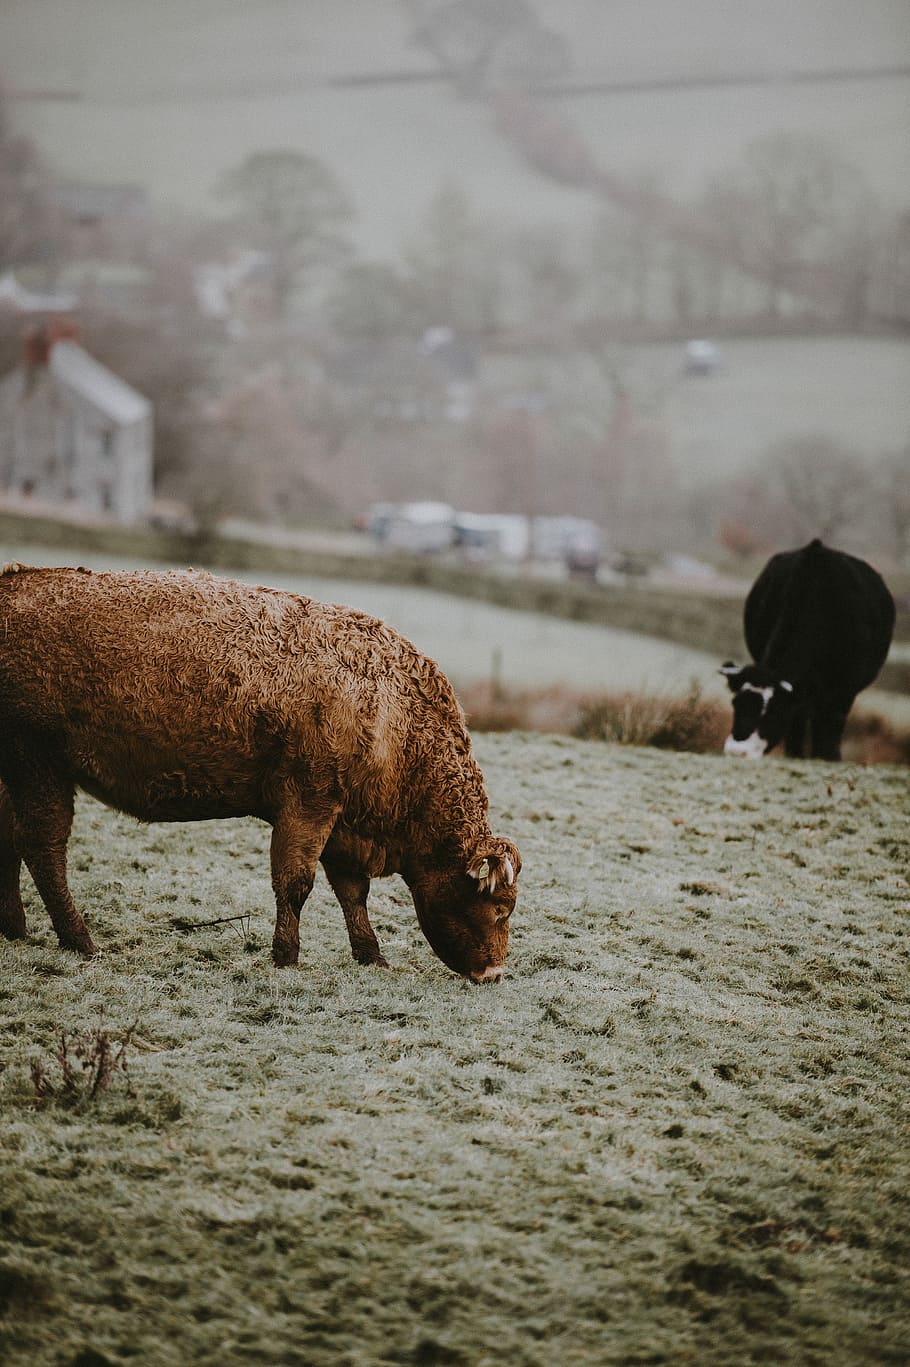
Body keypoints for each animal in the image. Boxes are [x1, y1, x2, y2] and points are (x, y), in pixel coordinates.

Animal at [0, 564, 521, 981]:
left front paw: (370, 955)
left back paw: (16, 929)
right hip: (38, 766)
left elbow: (352, 893)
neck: (391, 711)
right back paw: (80, 941)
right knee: (44, 849)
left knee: (11, 840)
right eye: (500, 908)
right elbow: (295, 884)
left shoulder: (342, 824)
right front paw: (286, 956)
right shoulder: (309, 805)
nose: (494, 973)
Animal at [720, 539, 895, 760]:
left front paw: (828, 756)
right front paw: (795, 753)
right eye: (736, 703)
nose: (737, 751)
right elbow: (798, 717)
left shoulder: (845, 687)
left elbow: (833, 721)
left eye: (773, 711)